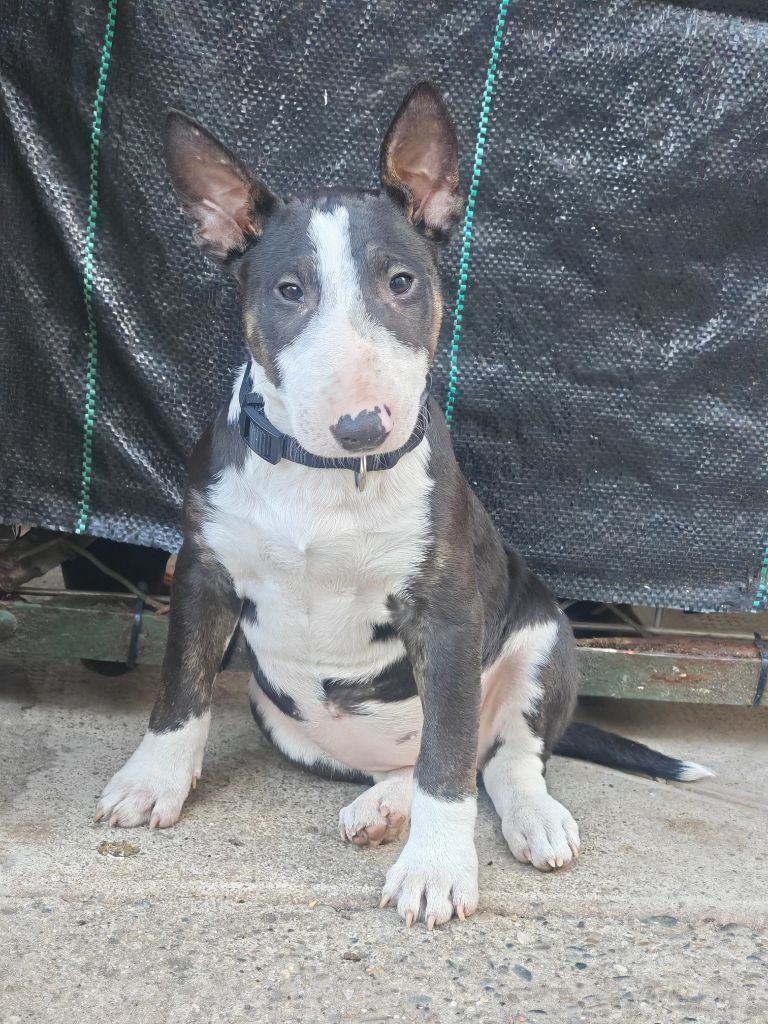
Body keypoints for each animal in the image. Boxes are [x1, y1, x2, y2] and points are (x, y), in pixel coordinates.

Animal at [96, 82, 712, 929]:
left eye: (401, 282)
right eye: (289, 292)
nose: (362, 425)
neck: (327, 476)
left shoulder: (447, 614)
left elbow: (446, 762)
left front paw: (438, 872)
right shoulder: (200, 572)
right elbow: (180, 690)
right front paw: (151, 781)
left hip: (543, 643)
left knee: (496, 761)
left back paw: (532, 820)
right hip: (278, 711)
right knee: (414, 765)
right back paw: (381, 808)